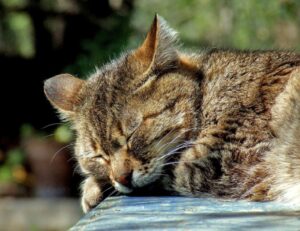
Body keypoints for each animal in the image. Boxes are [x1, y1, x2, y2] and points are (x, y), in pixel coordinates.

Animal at [44, 14, 300, 213]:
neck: (207, 94)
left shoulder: (216, 161)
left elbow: (162, 174)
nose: (122, 178)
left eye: (132, 134)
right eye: (98, 156)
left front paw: (92, 188)